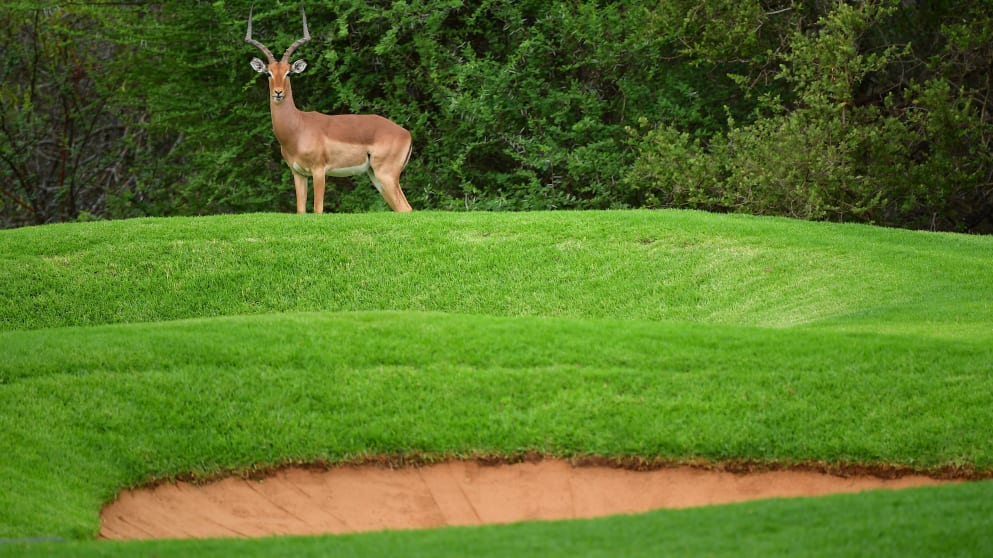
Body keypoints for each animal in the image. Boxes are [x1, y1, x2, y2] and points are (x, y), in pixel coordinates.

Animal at [245, 5, 413, 213]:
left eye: (289, 73)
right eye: (268, 73)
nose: (278, 92)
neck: (298, 128)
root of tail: (406, 133)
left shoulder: (319, 171)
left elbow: (318, 210)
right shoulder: (298, 174)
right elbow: (301, 211)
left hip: (386, 176)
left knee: (406, 208)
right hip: (376, 176)